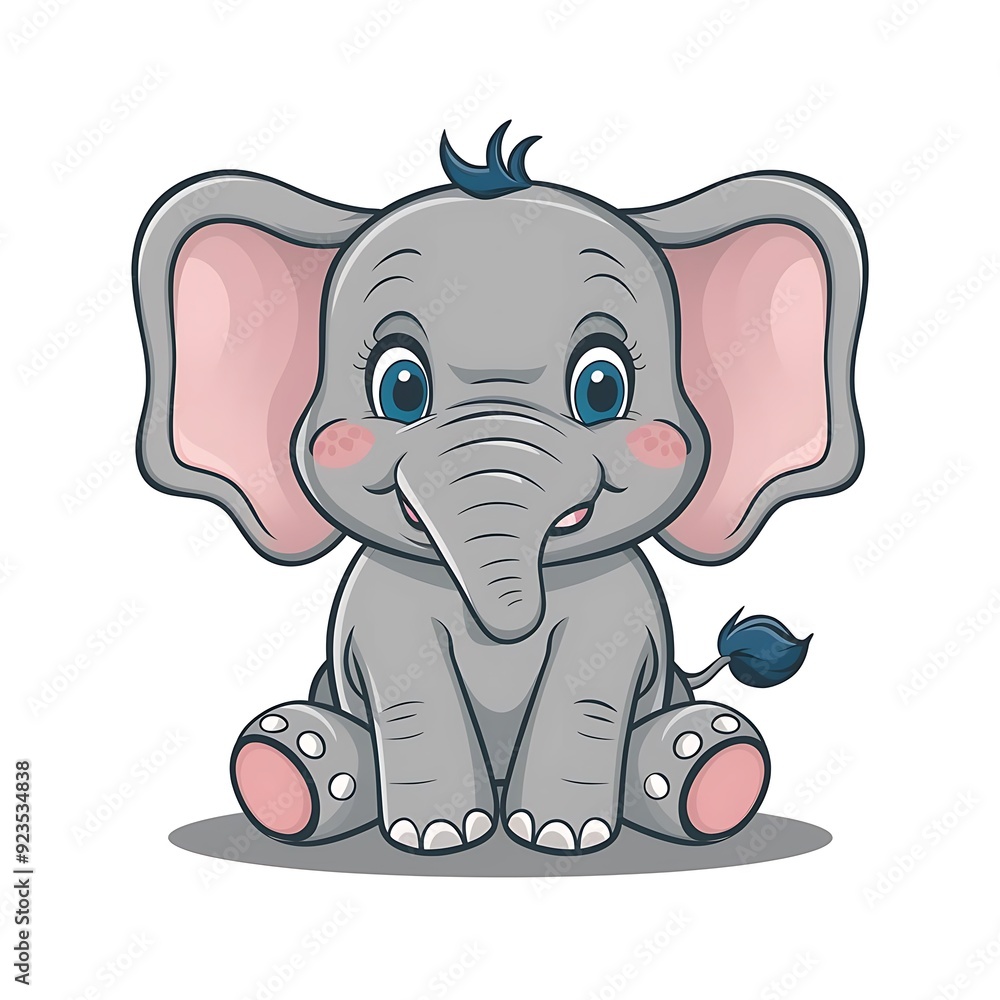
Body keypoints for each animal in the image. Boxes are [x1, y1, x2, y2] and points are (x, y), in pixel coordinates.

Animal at [133, 122, 866, 856]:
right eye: (401, 387)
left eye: (602, 387)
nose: (510, 625)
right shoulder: (381, 604)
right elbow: (410, 684)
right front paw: (439, 835)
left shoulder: (619, 603)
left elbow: (588, 683)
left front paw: (559, 836)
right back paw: (288, 766)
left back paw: (711, 766)